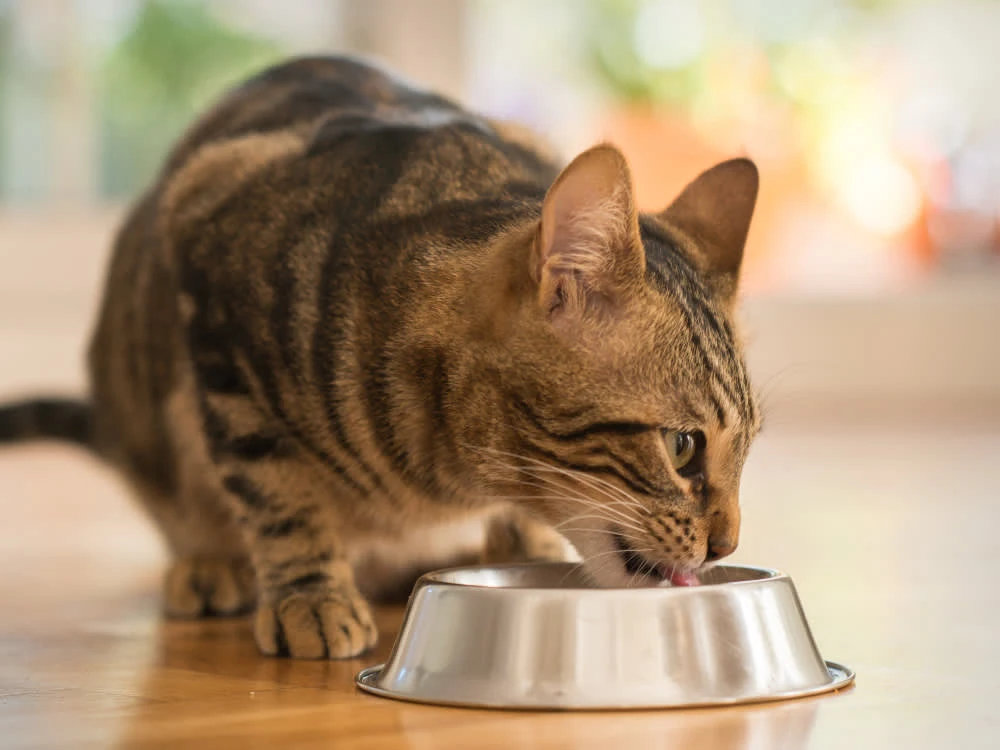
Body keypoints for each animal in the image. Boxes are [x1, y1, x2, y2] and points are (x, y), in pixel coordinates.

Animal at [0, 56, 761, 659]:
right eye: (684, 446)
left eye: (747, 448)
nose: (728, 545)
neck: (449, 476)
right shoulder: (211, 274)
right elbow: (276, 491)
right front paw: (308, 594)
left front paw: (523, 548)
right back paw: (214, 564)